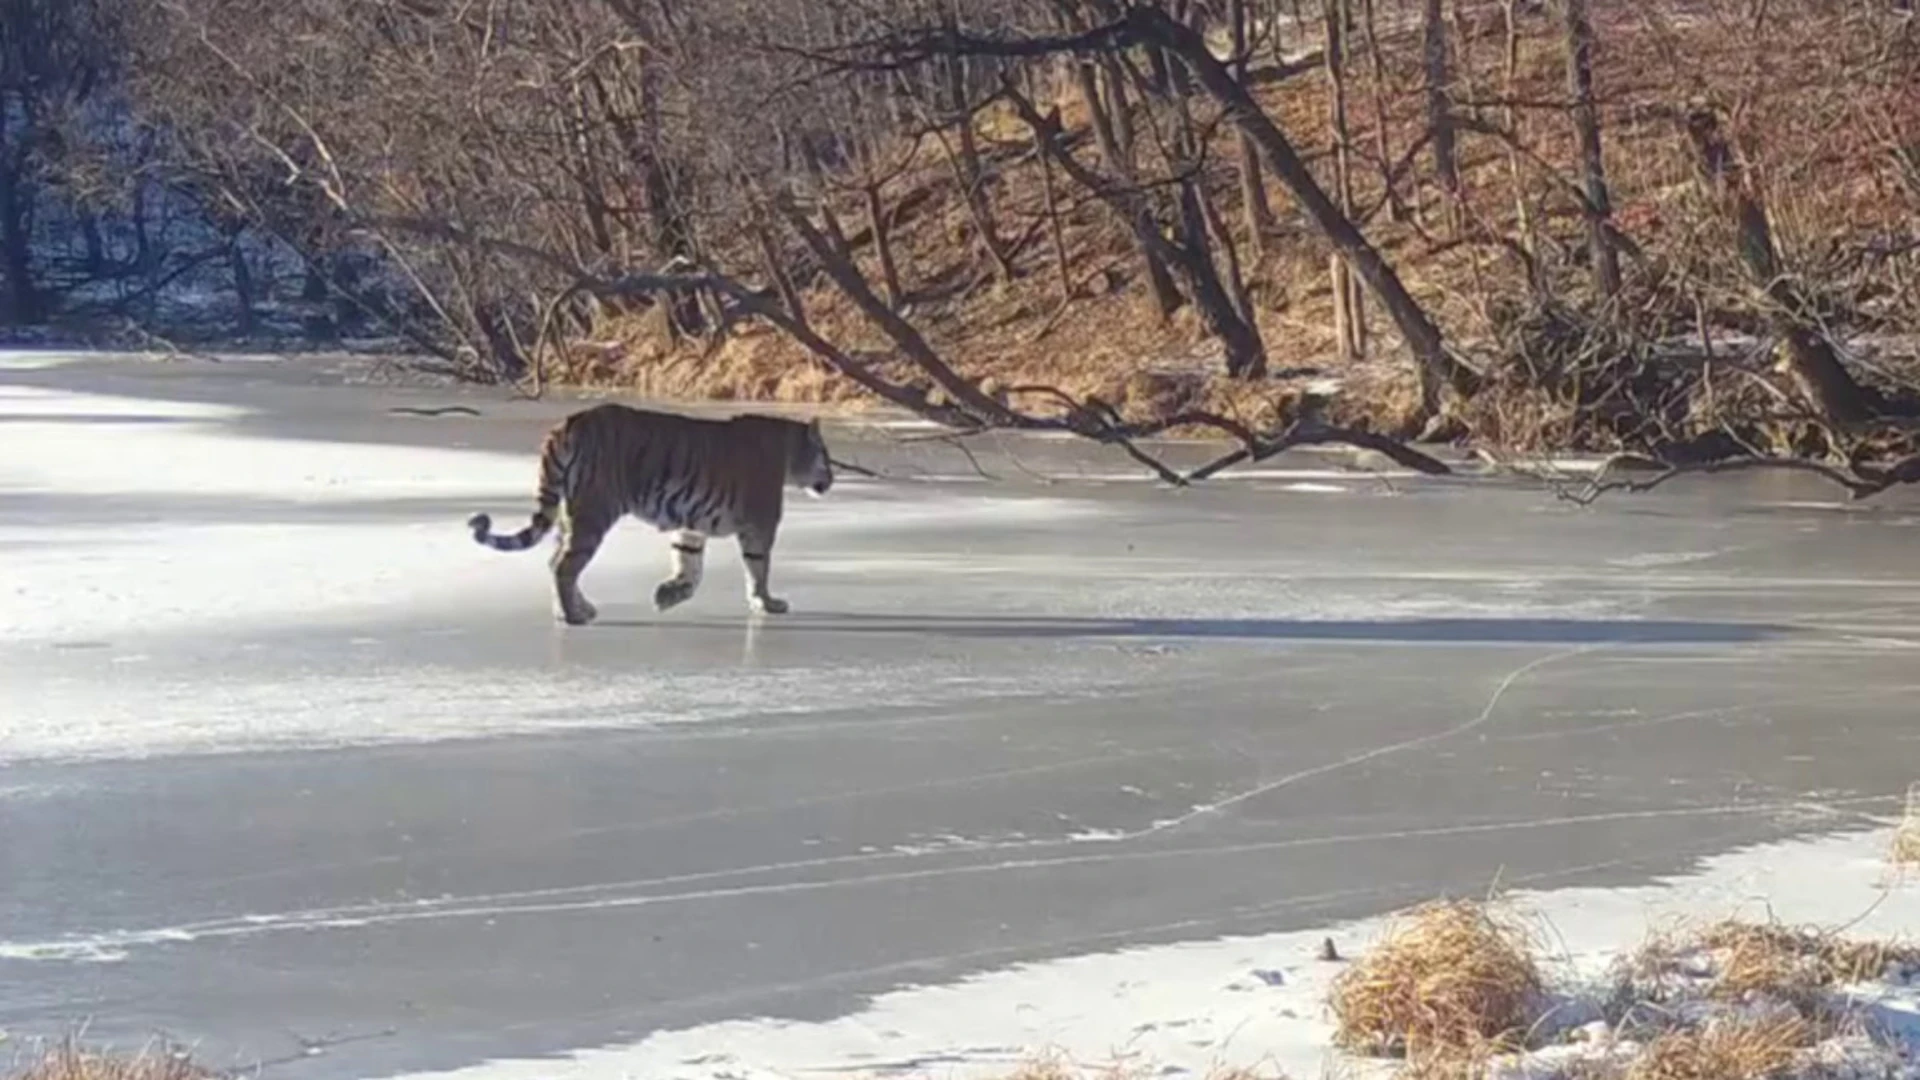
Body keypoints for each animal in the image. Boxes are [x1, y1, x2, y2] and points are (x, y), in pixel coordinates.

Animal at [468, 399, 837, 622]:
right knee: (564, 565)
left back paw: (577, 610)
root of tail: (568, 423)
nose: (833, 478)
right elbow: (758, 569)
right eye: (826, 456)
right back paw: (574, 616)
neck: (788, 453)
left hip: (568, 513)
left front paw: (668, 595)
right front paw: (768, 603)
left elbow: (690, 566)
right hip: (593, 511)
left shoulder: (693, 524)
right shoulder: (760, 524)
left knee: (554, 560)